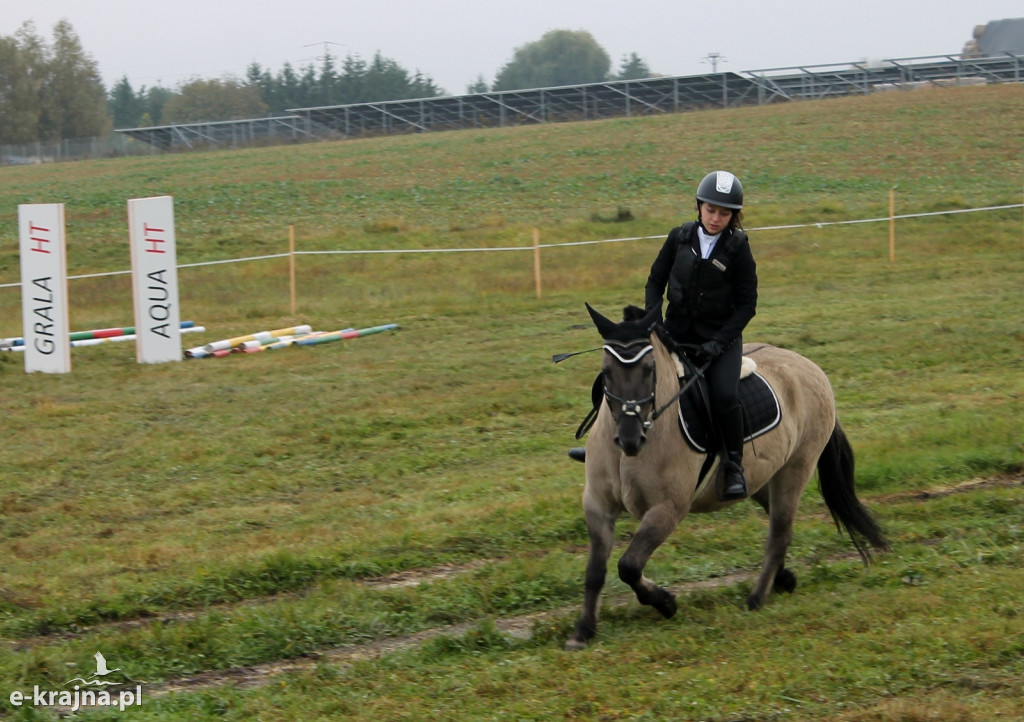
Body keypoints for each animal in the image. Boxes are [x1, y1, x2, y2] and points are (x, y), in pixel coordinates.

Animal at [565, 301, 892, 651]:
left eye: (649, 370)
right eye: (606, 372)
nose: (629, 438)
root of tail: (808, 366)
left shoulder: (667, 509)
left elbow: (628, 566)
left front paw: (666, 603)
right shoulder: (597, 505)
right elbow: (595, 571)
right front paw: (583, 631)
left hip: (796, 468)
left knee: (780, 533)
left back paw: (756, 598)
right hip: (762, 478)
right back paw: (783, 578)